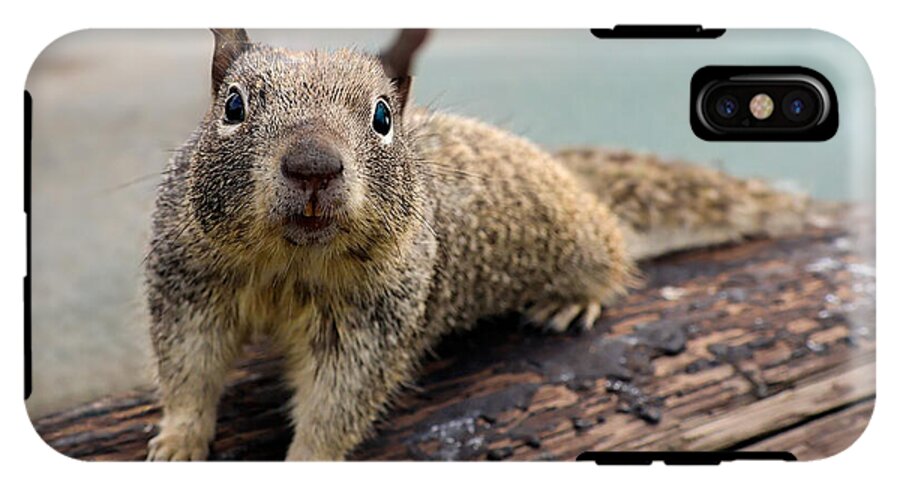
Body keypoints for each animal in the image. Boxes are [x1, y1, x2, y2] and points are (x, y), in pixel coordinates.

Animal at [145, 29, 807, 461]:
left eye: (383, 117)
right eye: (233, 105)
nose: (313, 166)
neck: (291, 262)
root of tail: (571, 178)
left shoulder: (373, 322)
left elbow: (339, 402)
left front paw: (308, 460)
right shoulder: (190, 283)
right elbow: (189, 369)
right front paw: (177, 441)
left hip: (582, 240)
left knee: (613, 253)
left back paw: (573, 299)